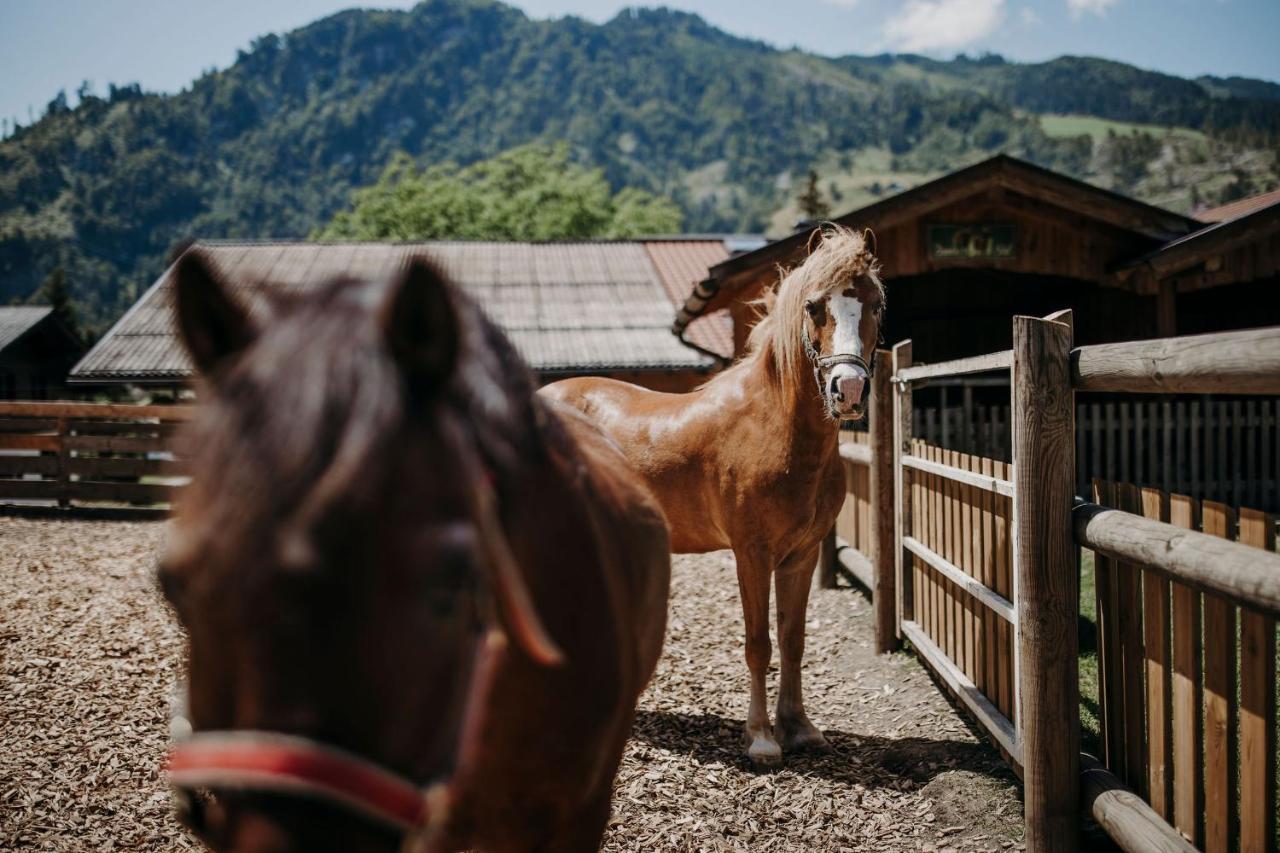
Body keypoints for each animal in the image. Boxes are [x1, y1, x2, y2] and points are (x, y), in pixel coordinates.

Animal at [540, 225, 880, 763]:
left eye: (877, 304)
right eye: (813, 306)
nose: (847, 389)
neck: (774, 427)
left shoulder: (801, 556)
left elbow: (793, 640)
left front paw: (799, 728)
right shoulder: (752, 554)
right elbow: (759, 644)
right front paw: (761, 738)